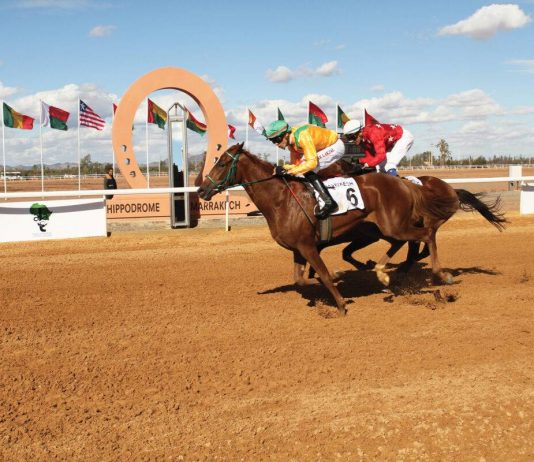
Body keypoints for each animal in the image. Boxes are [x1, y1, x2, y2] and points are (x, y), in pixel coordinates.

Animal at [200, 145, 506, 318]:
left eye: (222, 163)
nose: (202, 190)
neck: (281, 198)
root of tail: (408, 184)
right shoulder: (298, 248)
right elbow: (301, 280)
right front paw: (342, 277)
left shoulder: (309, 246)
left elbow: (323, 275)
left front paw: (340, 305)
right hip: (390, 228)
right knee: (413, 243)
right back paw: (390, 273)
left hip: (395, 226)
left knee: (426, 236)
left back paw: (440, 276)